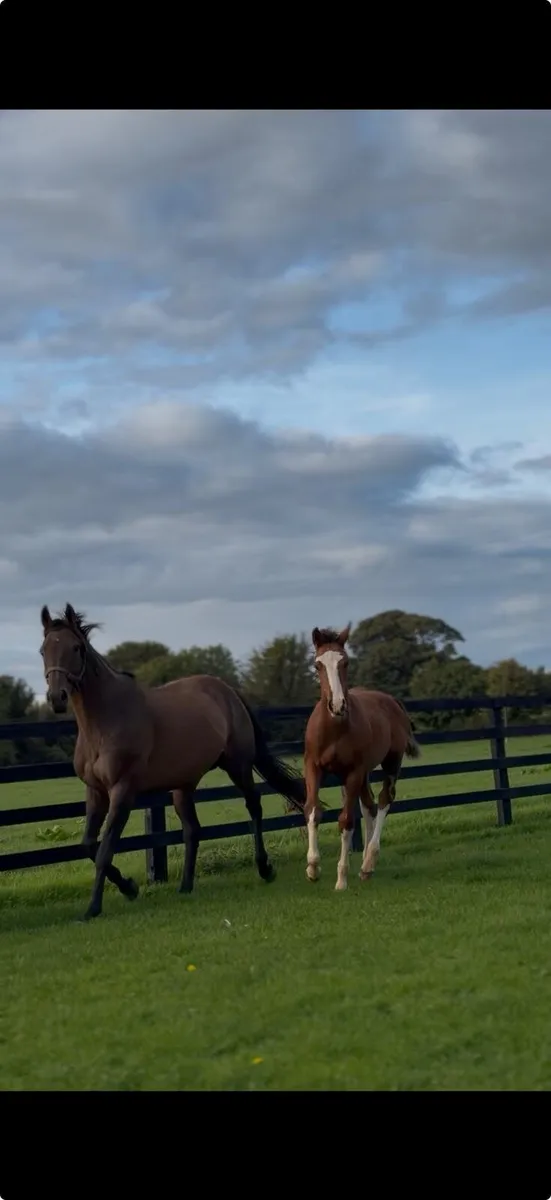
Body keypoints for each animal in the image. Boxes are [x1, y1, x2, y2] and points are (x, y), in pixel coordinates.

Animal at [40, 603, 306, 920]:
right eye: (43, 650)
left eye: (76, 648)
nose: (57, 697)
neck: (106, 720)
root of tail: (227, 691)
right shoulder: (95, 791)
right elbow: (89, 846)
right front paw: (130, 888)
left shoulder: (123, 791)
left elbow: (105, 850)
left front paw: (95, 907)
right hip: (183, 786)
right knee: (192, 830)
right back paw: (186, 885)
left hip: (238, 765)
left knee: (254, 805)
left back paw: (264, 868)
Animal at [303, 623, 420, 891]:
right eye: (317, 664)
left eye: (345, 662)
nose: (337, 705)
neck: (334, 729)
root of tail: (392, 700)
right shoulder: (313, 767)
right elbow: (313, 811)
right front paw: (313, 868)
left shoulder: (353, 772)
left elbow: (346, 820)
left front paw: (341, 879)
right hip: (365, 772)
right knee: (369, 806)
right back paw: (365, 864)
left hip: (391, 763)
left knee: (384, 800)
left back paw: (368, 863)